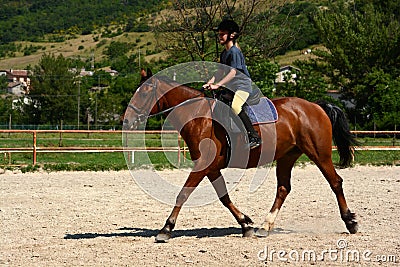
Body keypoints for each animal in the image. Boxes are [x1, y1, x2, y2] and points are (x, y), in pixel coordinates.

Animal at [123, 75, 358, 243]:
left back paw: (350, 222)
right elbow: (224, 197)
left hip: (319, 153)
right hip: (287, 156)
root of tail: (315, 106)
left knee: (335, 182)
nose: (127, 120)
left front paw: (166, 228)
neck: (198, 115)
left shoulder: (203, 165)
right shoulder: (211, 167)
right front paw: (246, 224)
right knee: (283, 188)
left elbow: (183, 194)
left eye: (144, 92)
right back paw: (265, 226)